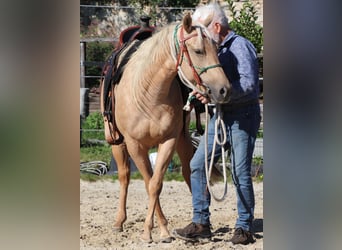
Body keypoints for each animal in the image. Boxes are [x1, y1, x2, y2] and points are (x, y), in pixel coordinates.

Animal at [100, 13, 231, 242]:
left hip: (182, 139)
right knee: (124, 176)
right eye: (198, 51)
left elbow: (155, 184)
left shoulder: (169, 141)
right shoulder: (135, 145)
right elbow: (147, 182)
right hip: (116, 142)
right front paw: (150, 231)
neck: (149, 91)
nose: (224, 89)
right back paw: (119, 222)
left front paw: (160, 230)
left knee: (187, 171)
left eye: (216, 49)